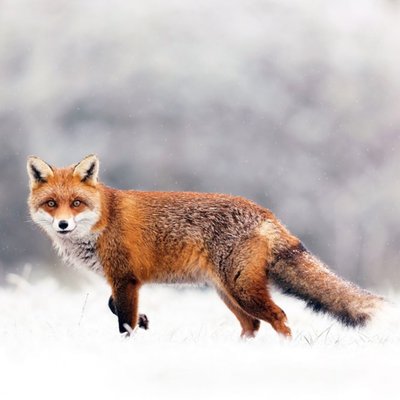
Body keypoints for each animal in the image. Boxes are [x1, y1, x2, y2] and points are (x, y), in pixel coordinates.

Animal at [26, 155, 382, 336]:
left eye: (76, 203)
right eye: (51, 204)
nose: (63, 225)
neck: (103, 220)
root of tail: (265, 212)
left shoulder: (126, 278)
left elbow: (123, 321)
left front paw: (132, 341)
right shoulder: (123, 280)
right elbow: (114, 306)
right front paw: (145, 321)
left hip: (242, 290)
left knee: (278, 317)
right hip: (227, 292)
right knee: (252, 325)